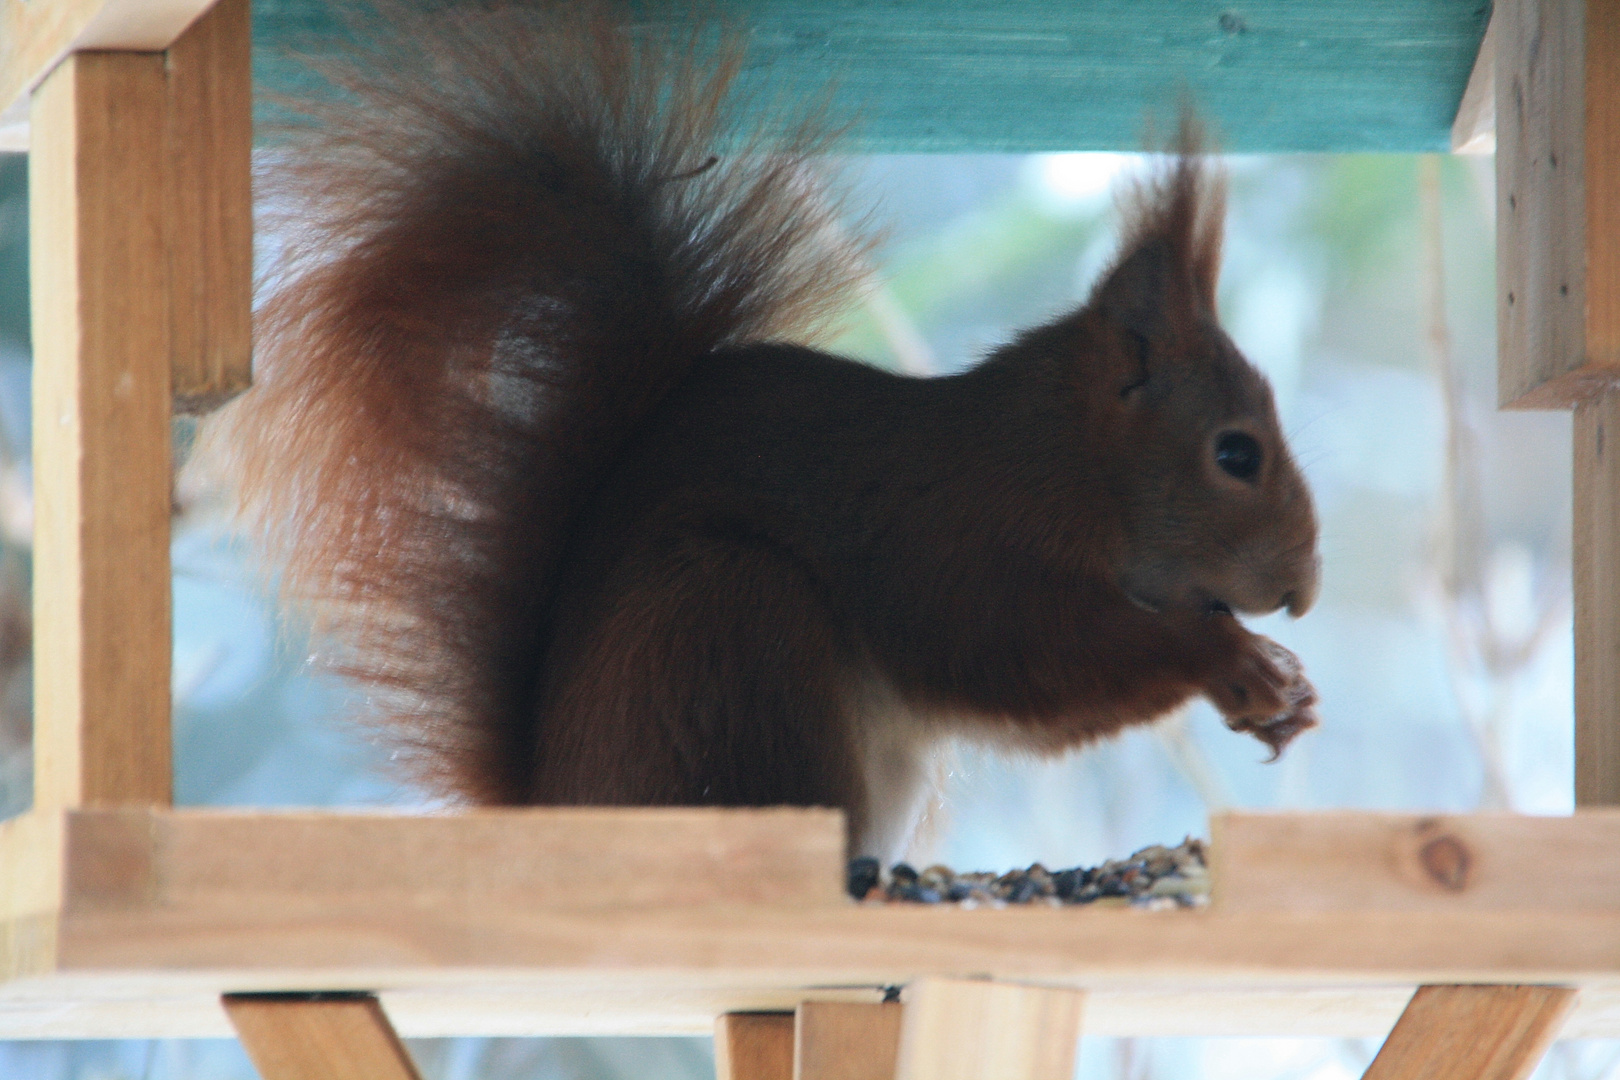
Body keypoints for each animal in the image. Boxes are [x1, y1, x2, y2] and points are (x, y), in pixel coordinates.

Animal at [199, 2, 1315, 861]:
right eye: (1236, 454)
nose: (1303, 590)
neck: (1063, 462)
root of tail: (561, 805)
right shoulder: (949, 535)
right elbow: (1018, 653)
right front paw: (1230, 659)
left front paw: (1284, 695)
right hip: (730, 625)